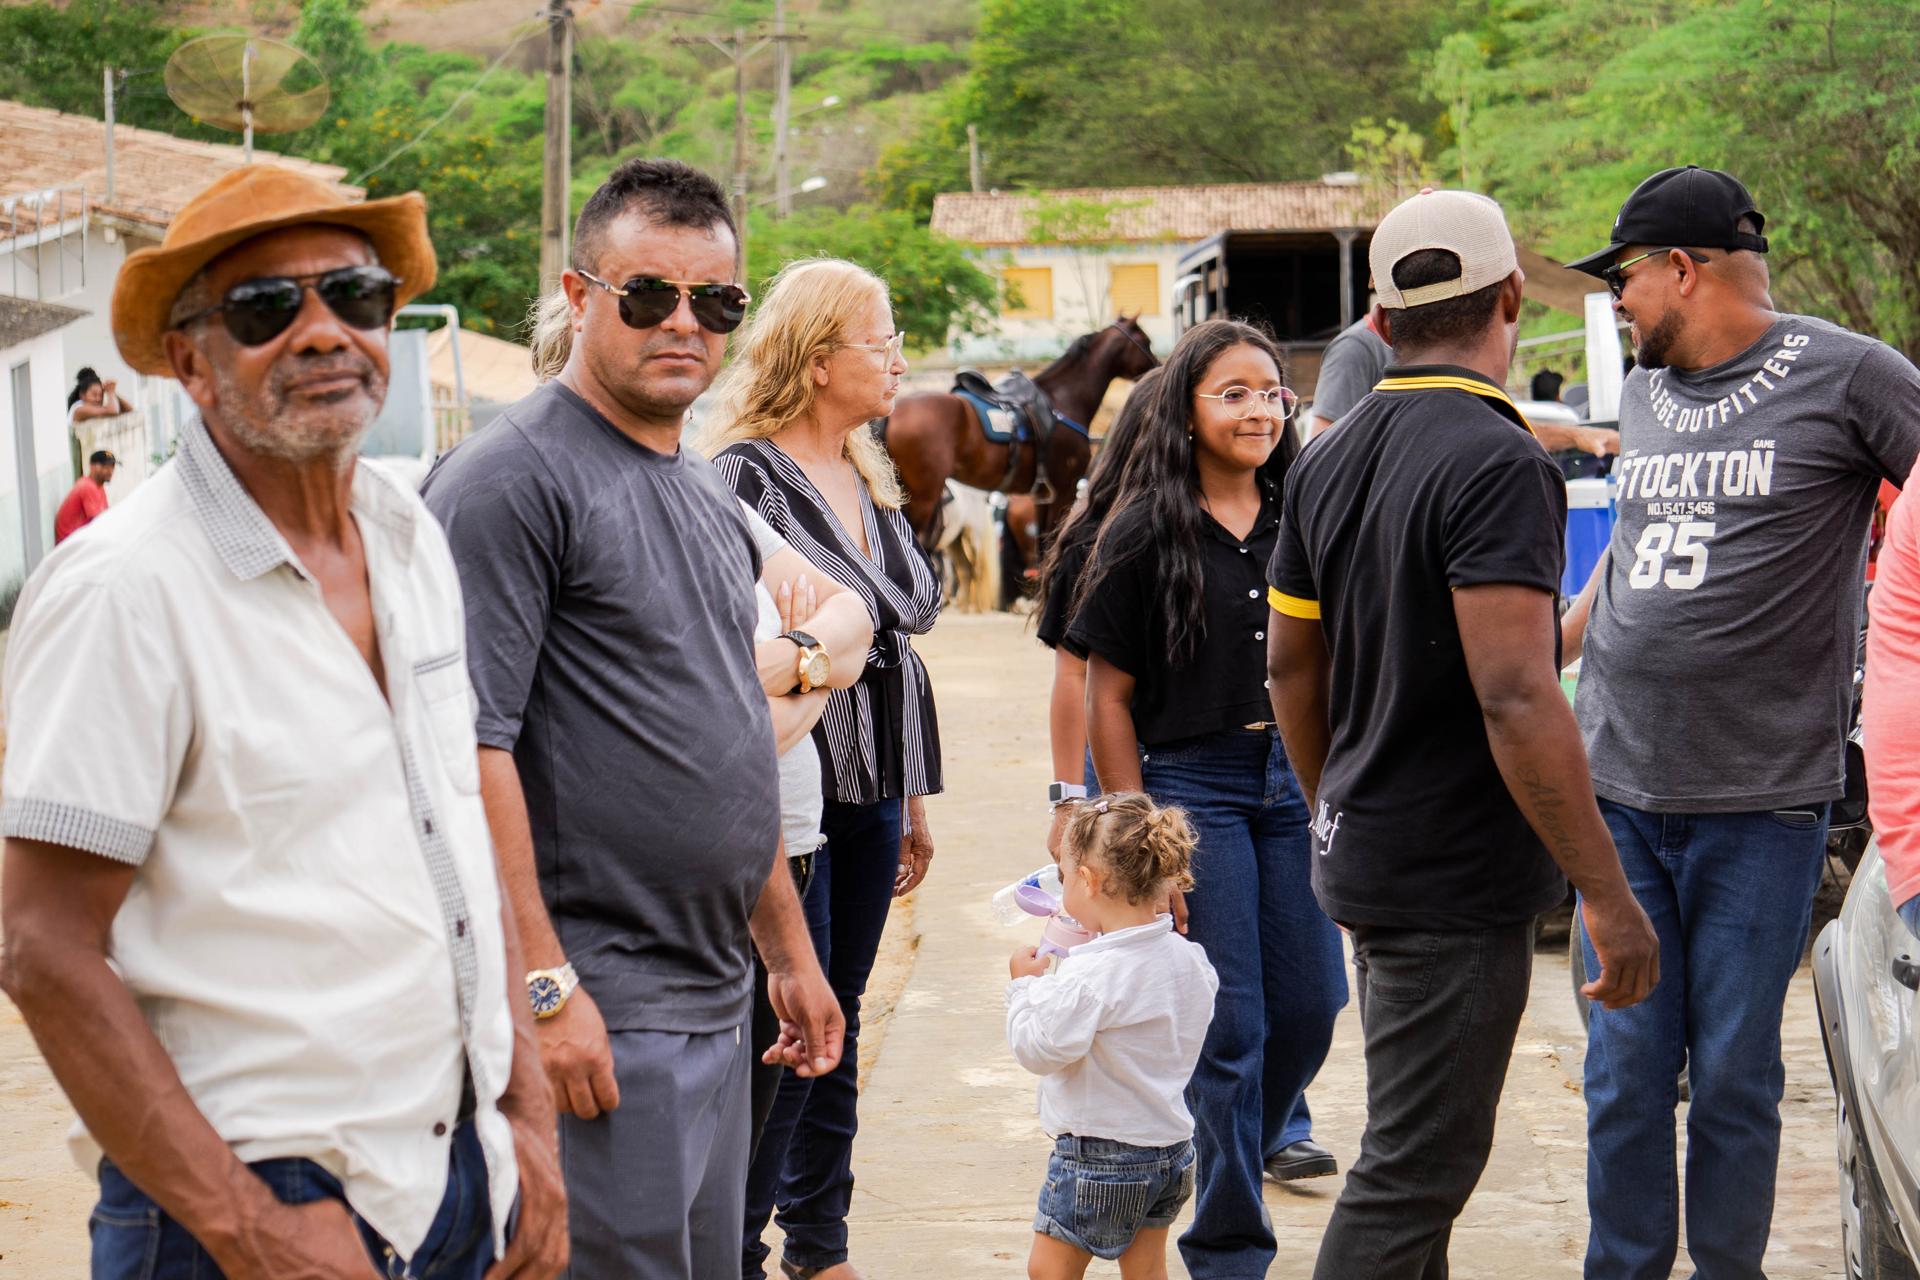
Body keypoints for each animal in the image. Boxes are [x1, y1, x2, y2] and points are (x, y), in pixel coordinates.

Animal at [875, 317, 1159, 557]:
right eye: (1145, 341)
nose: (1157, 366)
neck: (1062, 402)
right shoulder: (1065, 490)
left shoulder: (1042, 495)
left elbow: (1043, 547)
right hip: (922, 498)